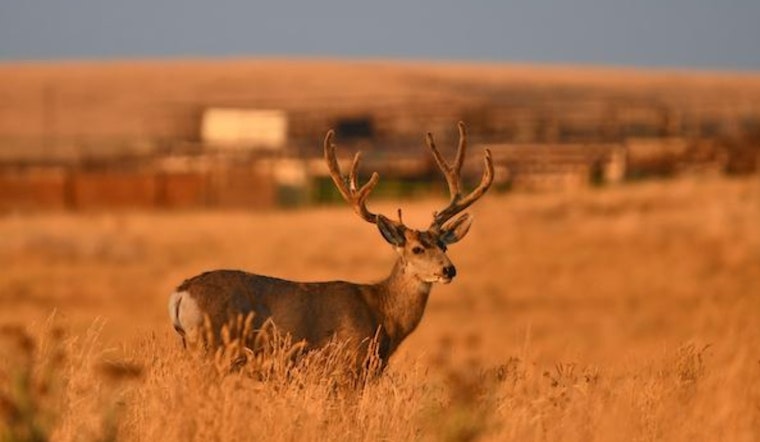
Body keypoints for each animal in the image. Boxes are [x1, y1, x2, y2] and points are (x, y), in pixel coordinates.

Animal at [168, 122, 493, 373]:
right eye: (416, 249)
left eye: (444, 246)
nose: (449, 270)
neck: (381, 314)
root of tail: (181, 293)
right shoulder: (347, 364)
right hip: (212, 346)